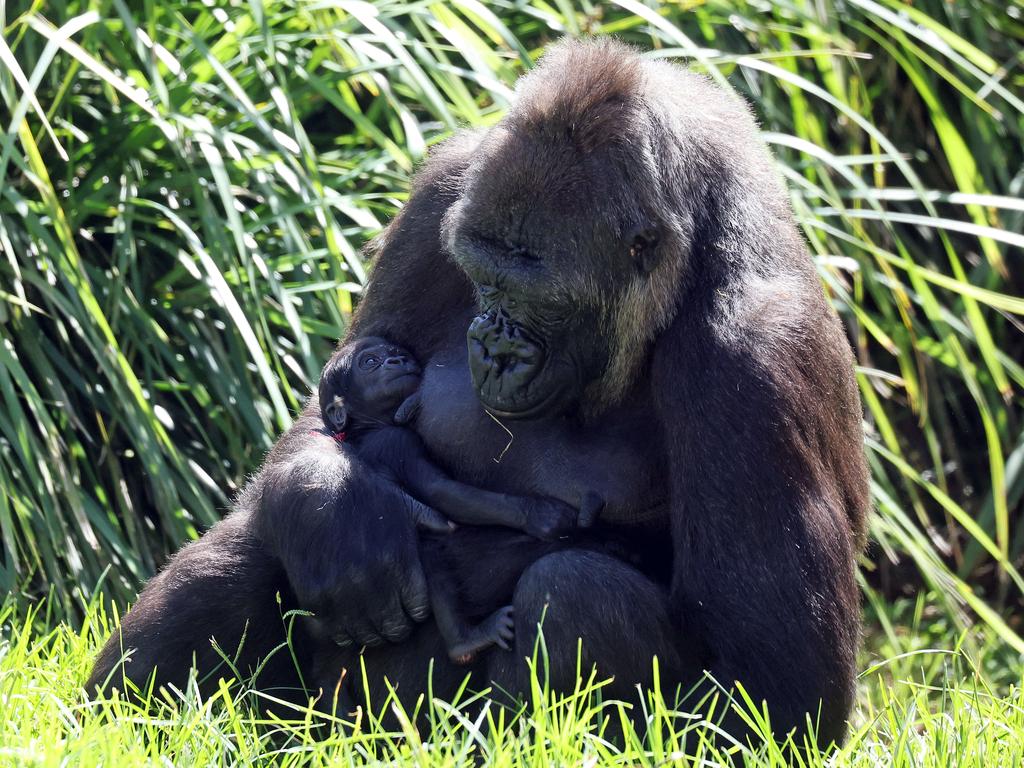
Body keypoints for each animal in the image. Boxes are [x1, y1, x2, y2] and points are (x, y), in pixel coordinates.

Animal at [319, 339, 598, 663]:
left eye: (396, 352)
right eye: (370, 362)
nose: (397, 360)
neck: (367, 426)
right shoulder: (398, 442)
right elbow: (441, 491)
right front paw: (539, 514)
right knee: (434, 563)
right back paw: (465, 641)